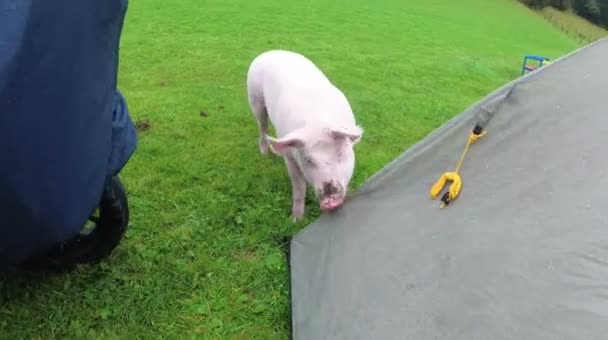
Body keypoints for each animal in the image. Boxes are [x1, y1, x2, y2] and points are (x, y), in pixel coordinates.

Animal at [246, 50, 364, 220]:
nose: (330, 197)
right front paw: (295, 219)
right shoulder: (290, 157)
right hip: (255, 98)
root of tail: (269, 52)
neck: (317, 123)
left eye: (341, 154)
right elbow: (299, 187)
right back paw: (264, 154)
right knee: (262, 127)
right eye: (308, 160)